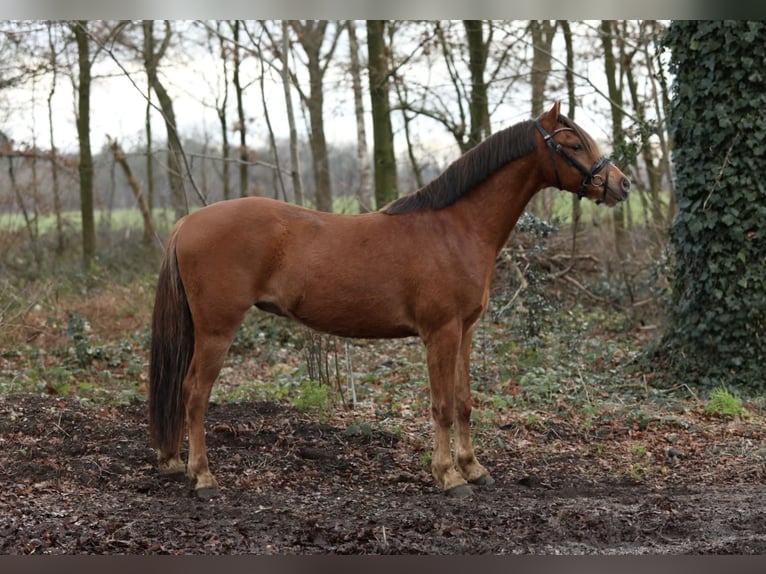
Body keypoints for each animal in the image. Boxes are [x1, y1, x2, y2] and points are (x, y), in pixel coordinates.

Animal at [148, 102, 632, 500]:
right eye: (573, 143)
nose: (622, 184)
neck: (457, 228)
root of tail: (188, 221)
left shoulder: (465, 331)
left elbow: (463, 403)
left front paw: (474, 469)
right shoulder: (440, 333)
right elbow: (441, 406)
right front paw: (448, 477)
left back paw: (177, 465)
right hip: (217, 328)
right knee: (195, 393)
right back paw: (203, 477)